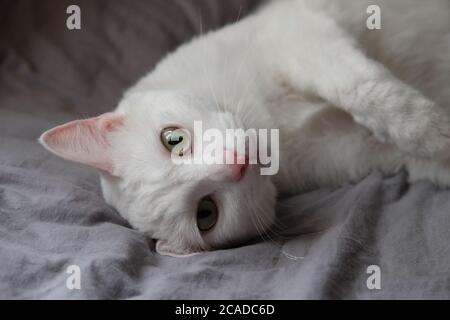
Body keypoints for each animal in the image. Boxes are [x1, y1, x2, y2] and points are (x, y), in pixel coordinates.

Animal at [39, 0, 450, 255]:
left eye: (173, 139)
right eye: (206, 214)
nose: (235, 162)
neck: (277, 129)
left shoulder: (303, 39)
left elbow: (365, 91)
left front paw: (433, 130)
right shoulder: (351, 150)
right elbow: (410, 156)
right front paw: (441, 147)